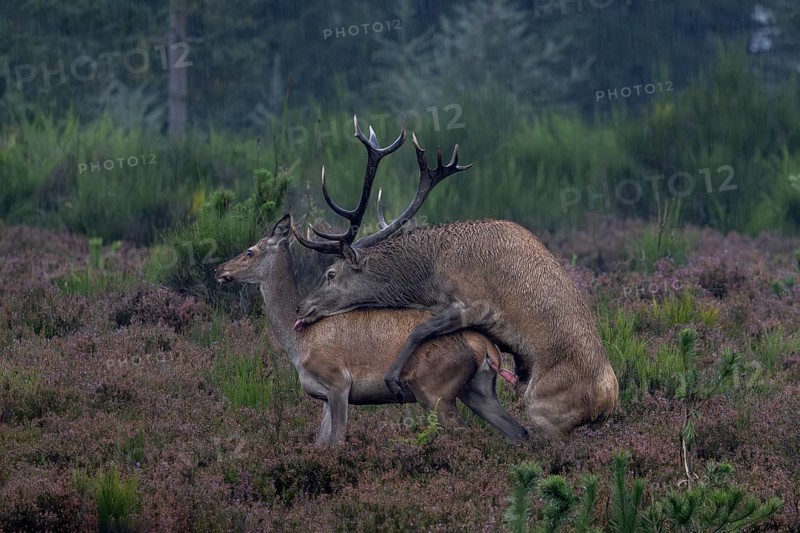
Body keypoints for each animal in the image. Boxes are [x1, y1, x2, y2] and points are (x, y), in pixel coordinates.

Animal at [214, 127, 527, 445]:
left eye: (250, 251)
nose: (220, 270)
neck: (299, 346)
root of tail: (487, 348)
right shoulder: (323, 397)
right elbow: (320, 443)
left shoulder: (338, 382)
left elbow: (337, 440)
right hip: (478, 389)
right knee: (519, 431)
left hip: (436, 390)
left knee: (466, 433)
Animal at [293, 116, 619, 442]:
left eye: (330, 274)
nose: (301, 307)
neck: (429, 277)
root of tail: (608, 402)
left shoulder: (470, 303)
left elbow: (420, 331)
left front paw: (393, 380)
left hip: (545, 409)